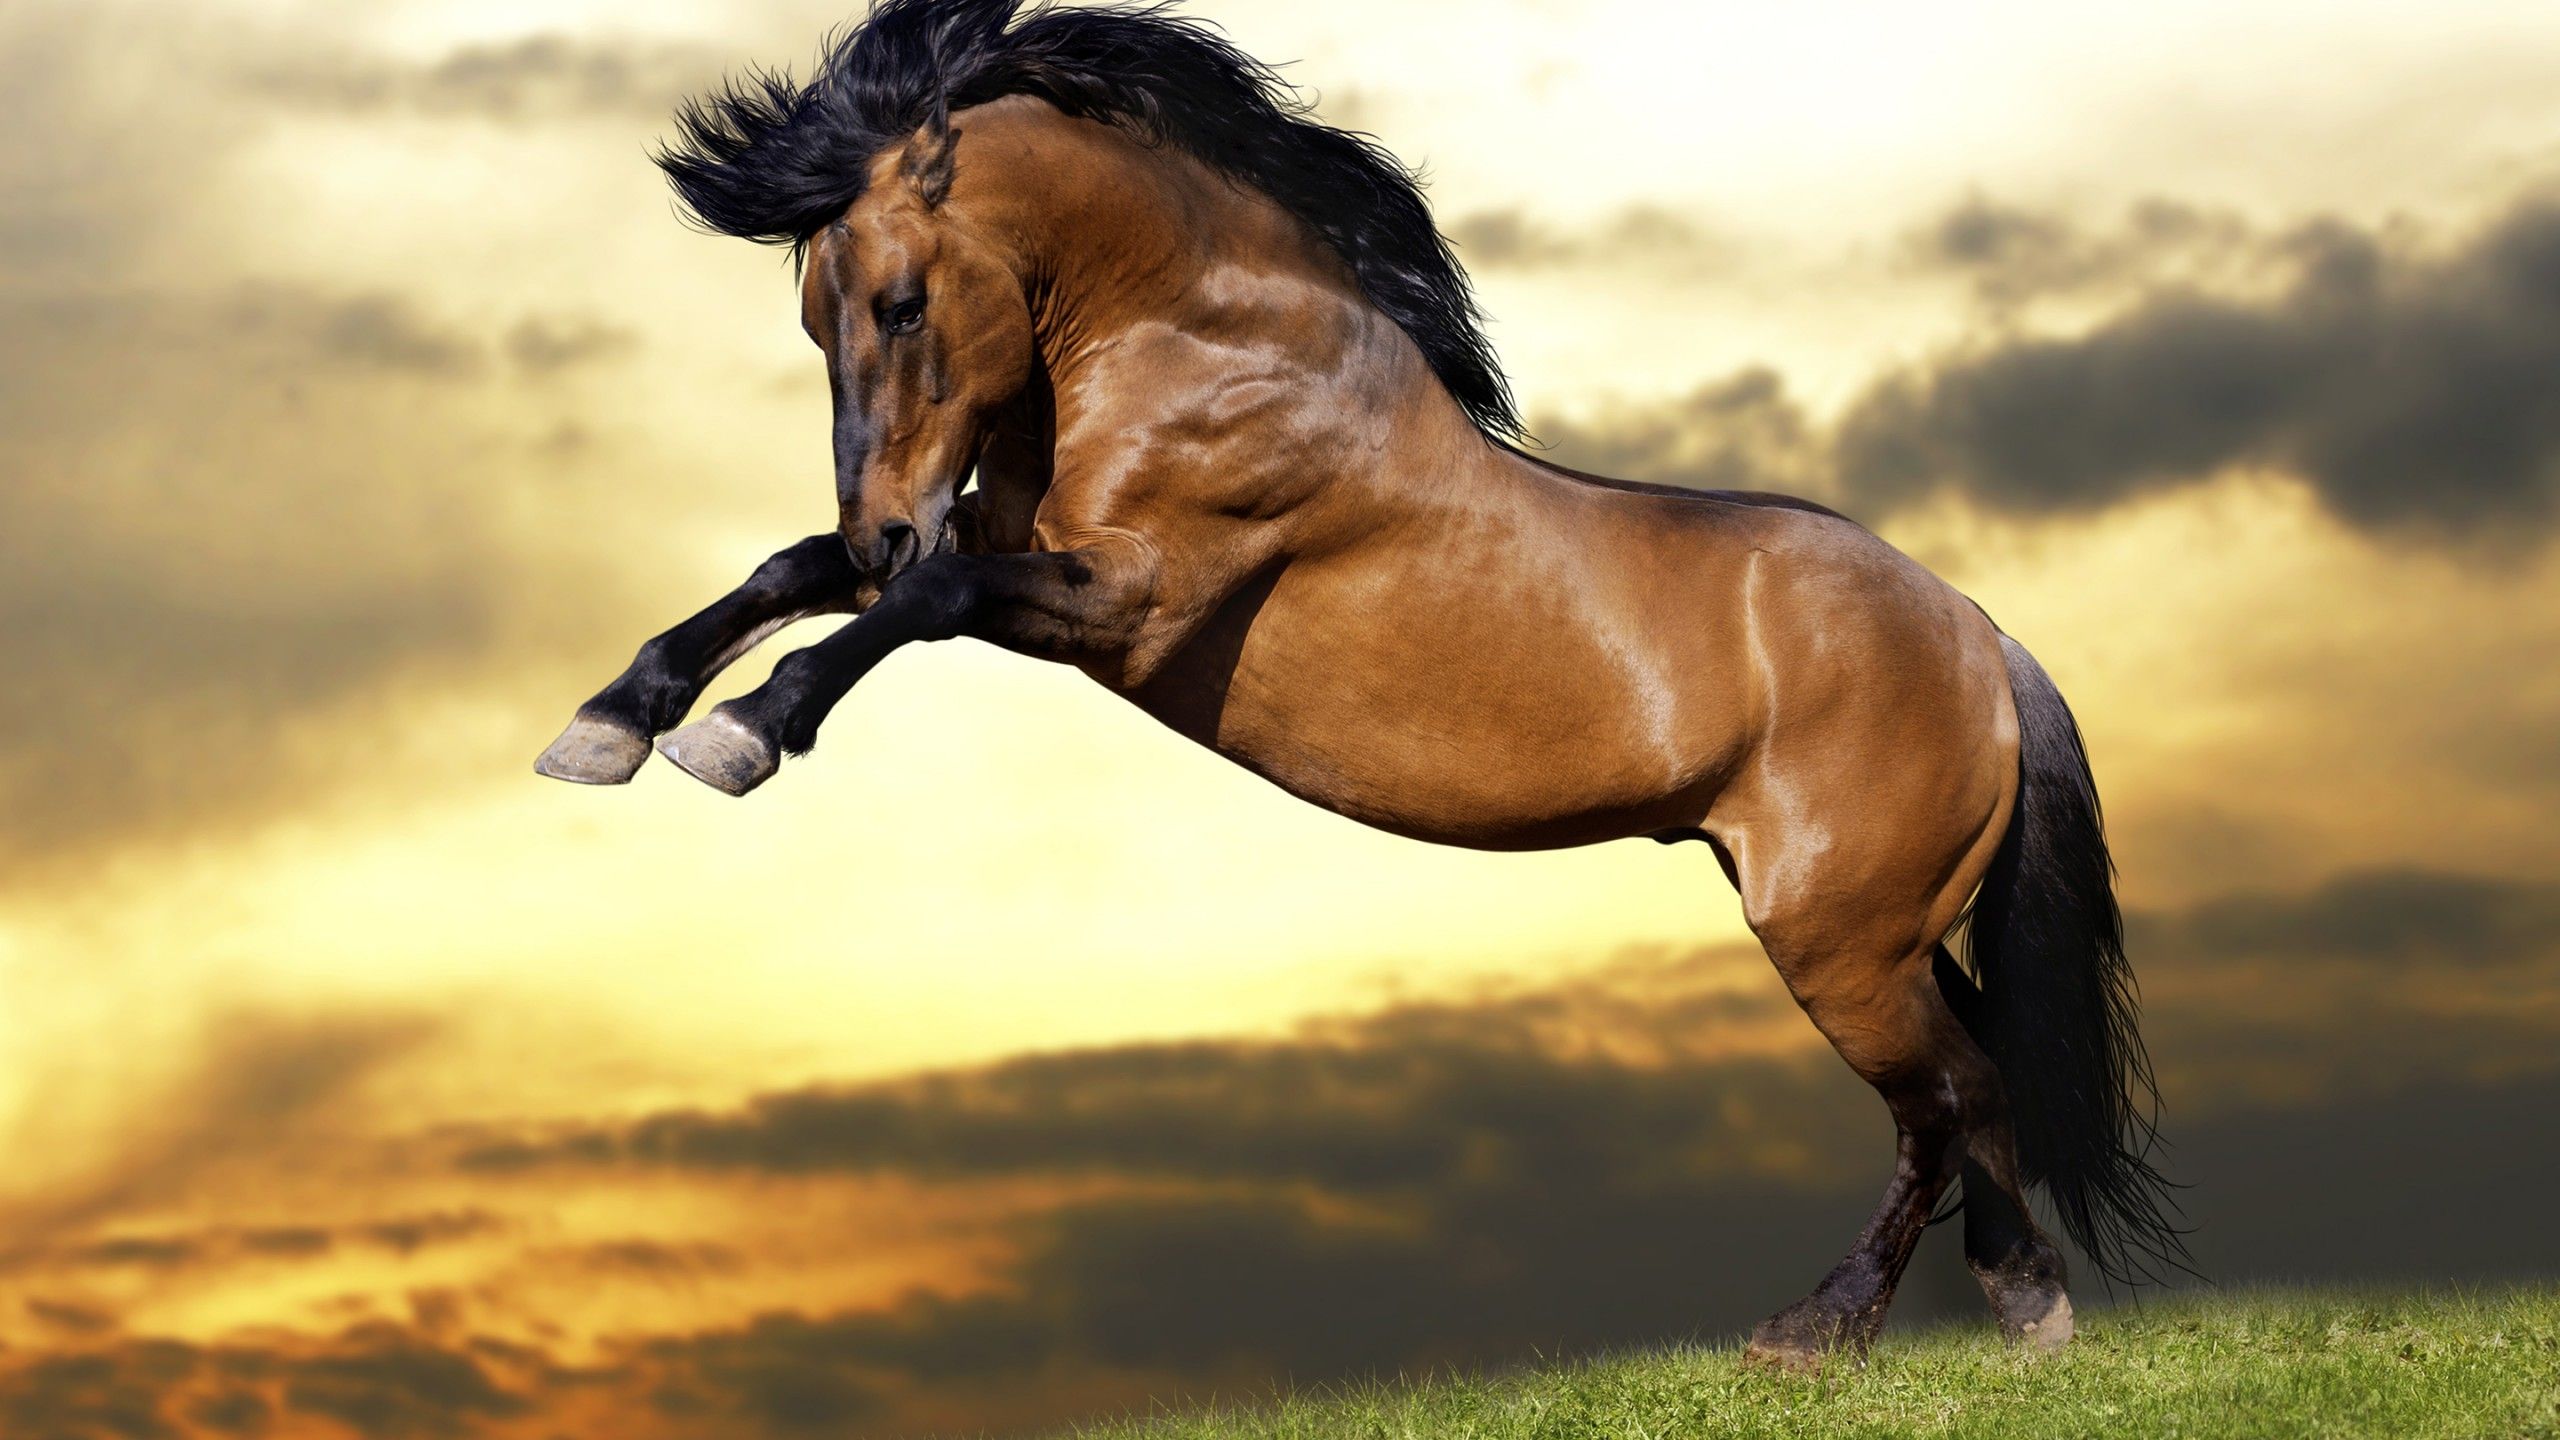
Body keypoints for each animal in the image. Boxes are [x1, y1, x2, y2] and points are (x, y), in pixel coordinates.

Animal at [536, 0, 2185, 1369]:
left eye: (895, 304)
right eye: (816, 316)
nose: (888, 513)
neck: (1194, 339)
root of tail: (1980, 634)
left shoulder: (1122, 599)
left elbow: (905, 605)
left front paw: (743, 733)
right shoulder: (1005, 549)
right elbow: (795, 570)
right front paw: (609, 727)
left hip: (1837, 941)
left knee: (1948, 1101)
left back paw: (1899, 1325)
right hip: (1887, 931)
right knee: (1970, 1086)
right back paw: (1936, 1318)